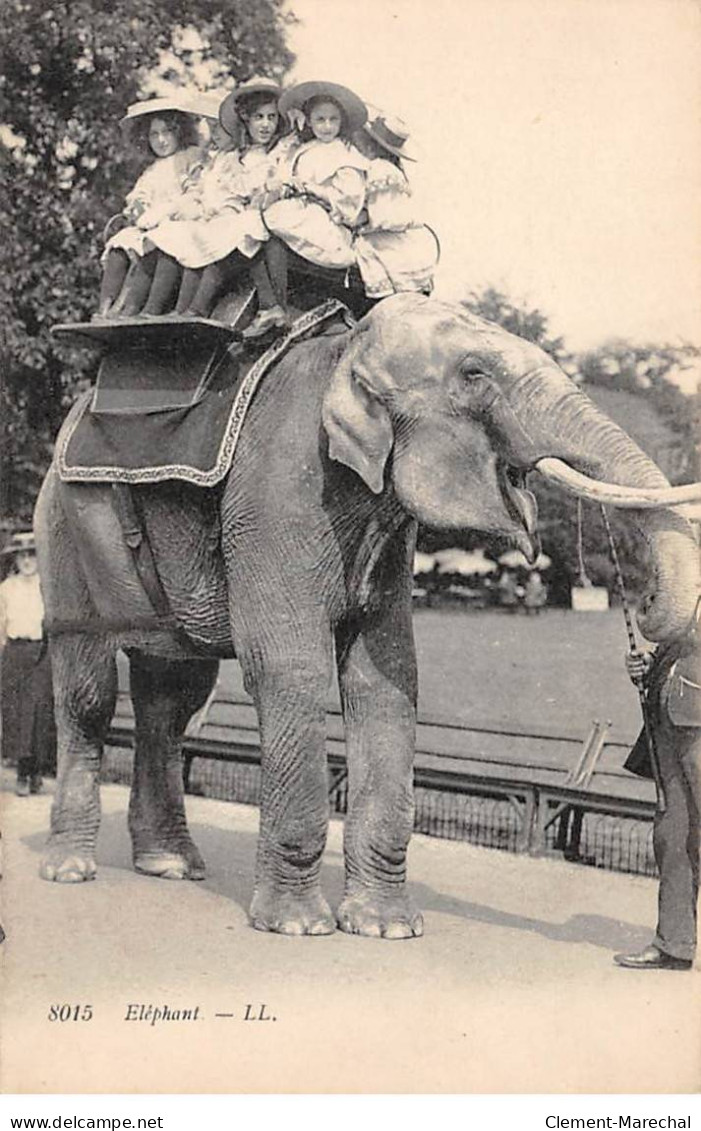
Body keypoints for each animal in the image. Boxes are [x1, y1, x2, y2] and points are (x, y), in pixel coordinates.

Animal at [35, 291, 701, 936]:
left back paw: (170, 865)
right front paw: (297, 926)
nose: (638, 610)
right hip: (64, 527)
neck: (346, 352)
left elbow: (388, 679)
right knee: (89, 690)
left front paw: (387, 928)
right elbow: (291, 668)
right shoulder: (279, 491)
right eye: (474, 374)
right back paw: (70, 868)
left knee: (172, 697)